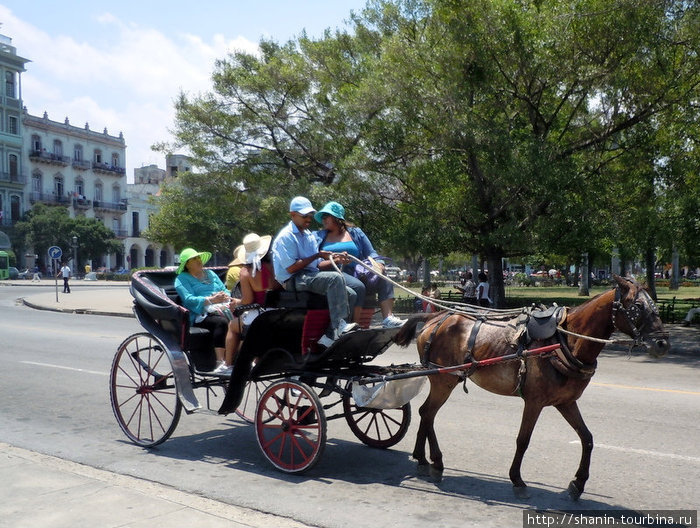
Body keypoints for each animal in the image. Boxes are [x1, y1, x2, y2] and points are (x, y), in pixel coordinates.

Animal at [396, 274, 668, 502]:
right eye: (638, 306)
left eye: (654, 303)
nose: (662, 343)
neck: (567, 340)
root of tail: (434, 318)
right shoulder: (534, 401)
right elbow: (523, 440)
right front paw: (517, 481)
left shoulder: (566, 402)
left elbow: (587, 438)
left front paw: (578, 484)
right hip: (444, 380)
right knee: (428, 413)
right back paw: (435, 462)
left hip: (444, 379)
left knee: (426, 414)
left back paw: (424, 459)